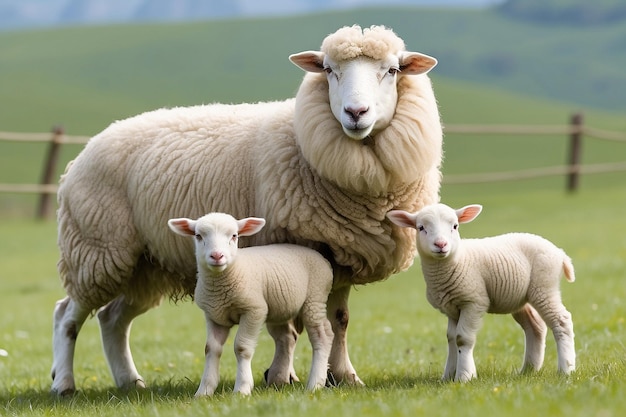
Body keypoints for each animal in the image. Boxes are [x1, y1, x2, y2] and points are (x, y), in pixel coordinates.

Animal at [166, 213, 332, 394]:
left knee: (323, 336)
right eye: (198, 236)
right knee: (287, 337)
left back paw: (315, 384)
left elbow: (242, 348)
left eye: (234, 236)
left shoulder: (254, 310)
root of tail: (323, 259)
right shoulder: (214, 315)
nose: (217, 256)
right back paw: (279, 381)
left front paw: (242, 389)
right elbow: (211, 348)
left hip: (314, 299)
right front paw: (204, 391)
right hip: (280, 307)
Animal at [386, 203, 576, 382]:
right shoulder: (452, 308)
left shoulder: (473, 301)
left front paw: (465, 376)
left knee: (561, 321)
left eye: (455, 226)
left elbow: (462, 338)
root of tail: (560, 253)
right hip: (521, 298)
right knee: (535, 327)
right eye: (421, 228)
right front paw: (448, 376)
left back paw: (566, 369)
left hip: (544, 287)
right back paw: (528, 370)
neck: (457, 260)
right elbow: (451, 338)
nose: (441, 244)